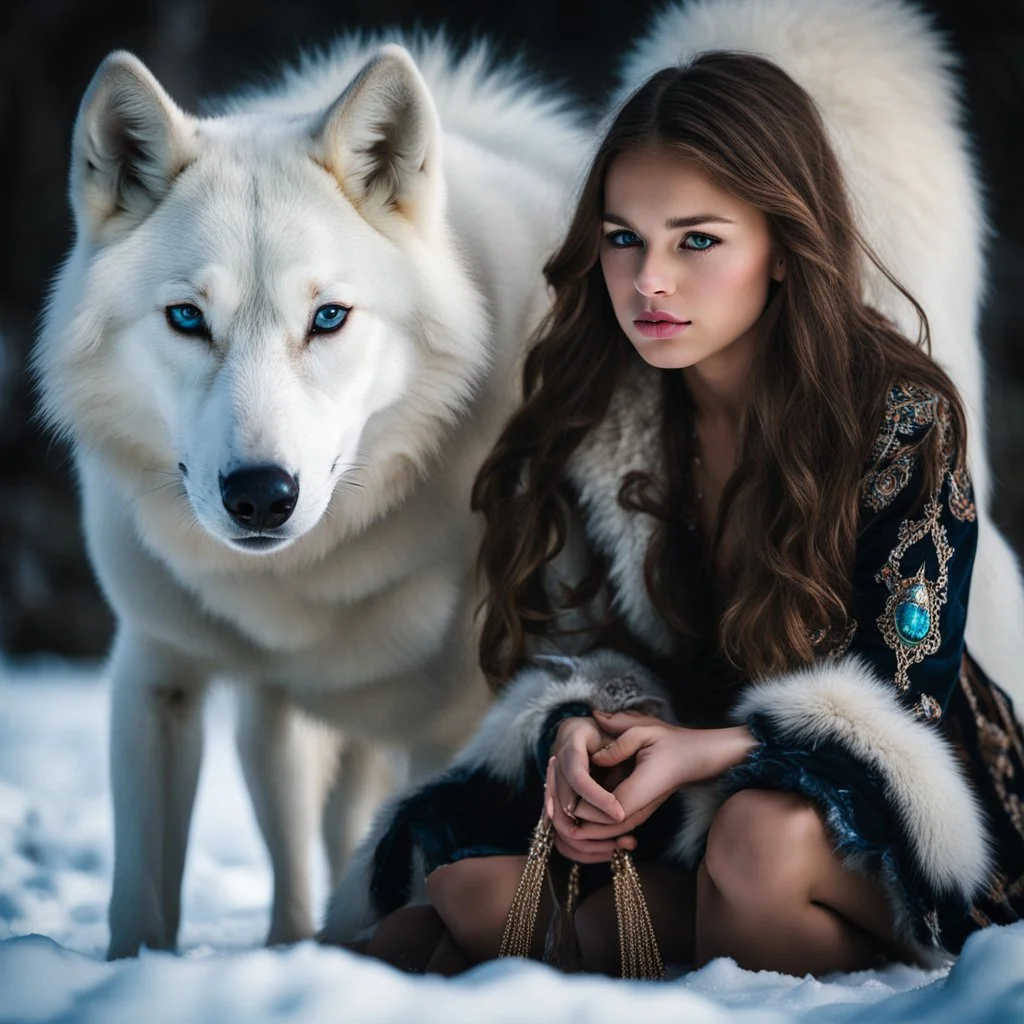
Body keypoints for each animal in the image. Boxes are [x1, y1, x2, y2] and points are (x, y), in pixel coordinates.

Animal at [34, 36, 585, 954]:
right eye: (188, 318)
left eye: (328, 318)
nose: (261, 495)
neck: (295, 588)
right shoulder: (155, 673)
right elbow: (141, 900)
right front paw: (134, 971)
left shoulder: (454, 733)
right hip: (277, 729)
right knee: (297, 857)